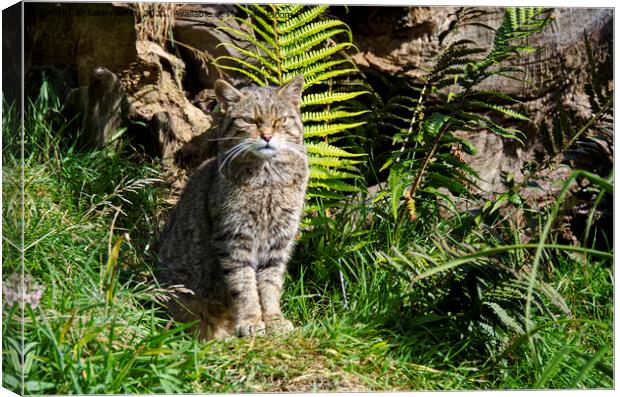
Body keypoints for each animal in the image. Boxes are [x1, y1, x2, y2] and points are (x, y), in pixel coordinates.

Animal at [157, 75, 308, 338]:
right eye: (249, 120)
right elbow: (244, 285)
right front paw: (251, 320)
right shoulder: (234, 237)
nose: (267, 136)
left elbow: (270, 284)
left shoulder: (279, 241)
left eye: (280, 120)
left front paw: (274, 319)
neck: (268, 179)